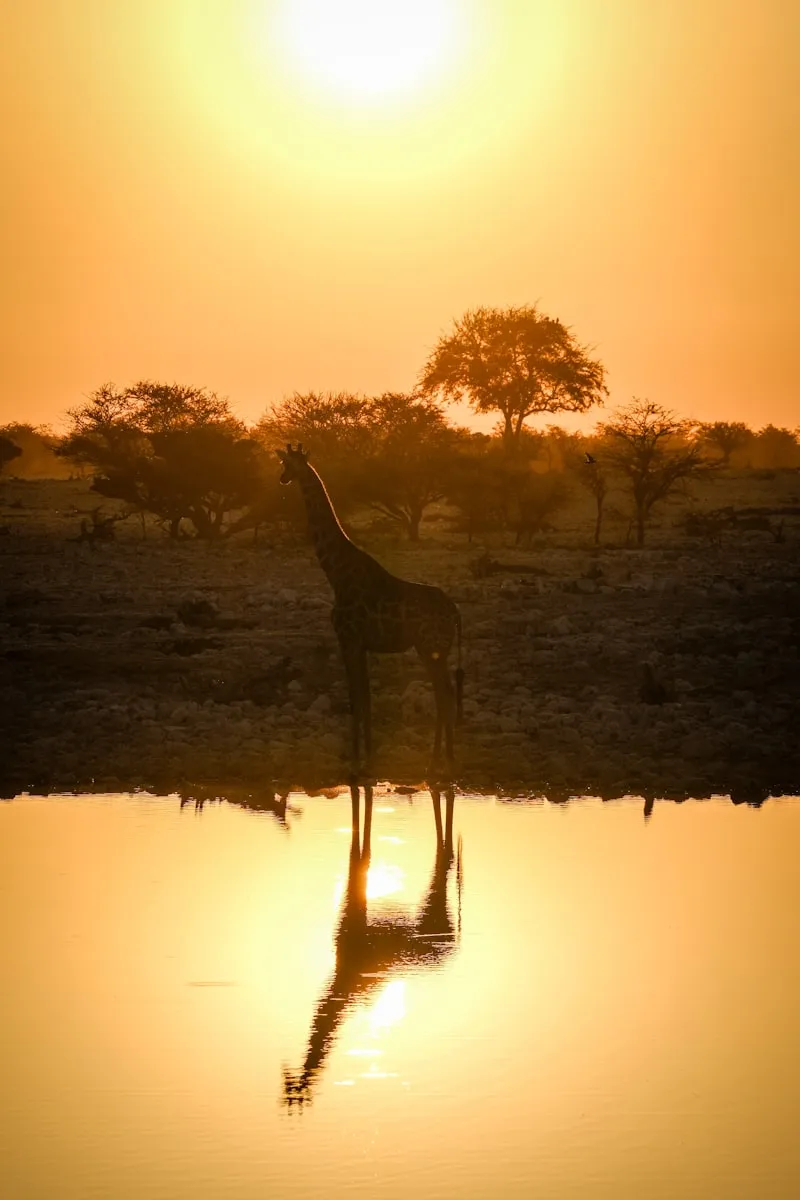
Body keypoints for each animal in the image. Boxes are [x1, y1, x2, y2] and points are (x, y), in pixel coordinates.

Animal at [276, 444, 463, 772]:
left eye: (288, 464)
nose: (282, 478)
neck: (336, 573)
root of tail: (454, 611)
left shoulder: (348, 639)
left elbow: (355, 697)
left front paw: (355, 757)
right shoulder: (361, 644)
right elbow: (365, 697)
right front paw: (367, 753)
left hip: (431, 647)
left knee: (444, 693)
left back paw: (441, 761)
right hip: (431, 649)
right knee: (445, 693)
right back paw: (440, 758)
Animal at [282, 784, 460, 1108]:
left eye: (293, 1093)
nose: (286, 1072)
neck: (343, 976)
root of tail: (452, 942)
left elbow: (359, 859)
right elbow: (360, 848)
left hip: (433, 909)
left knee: (444, 859)